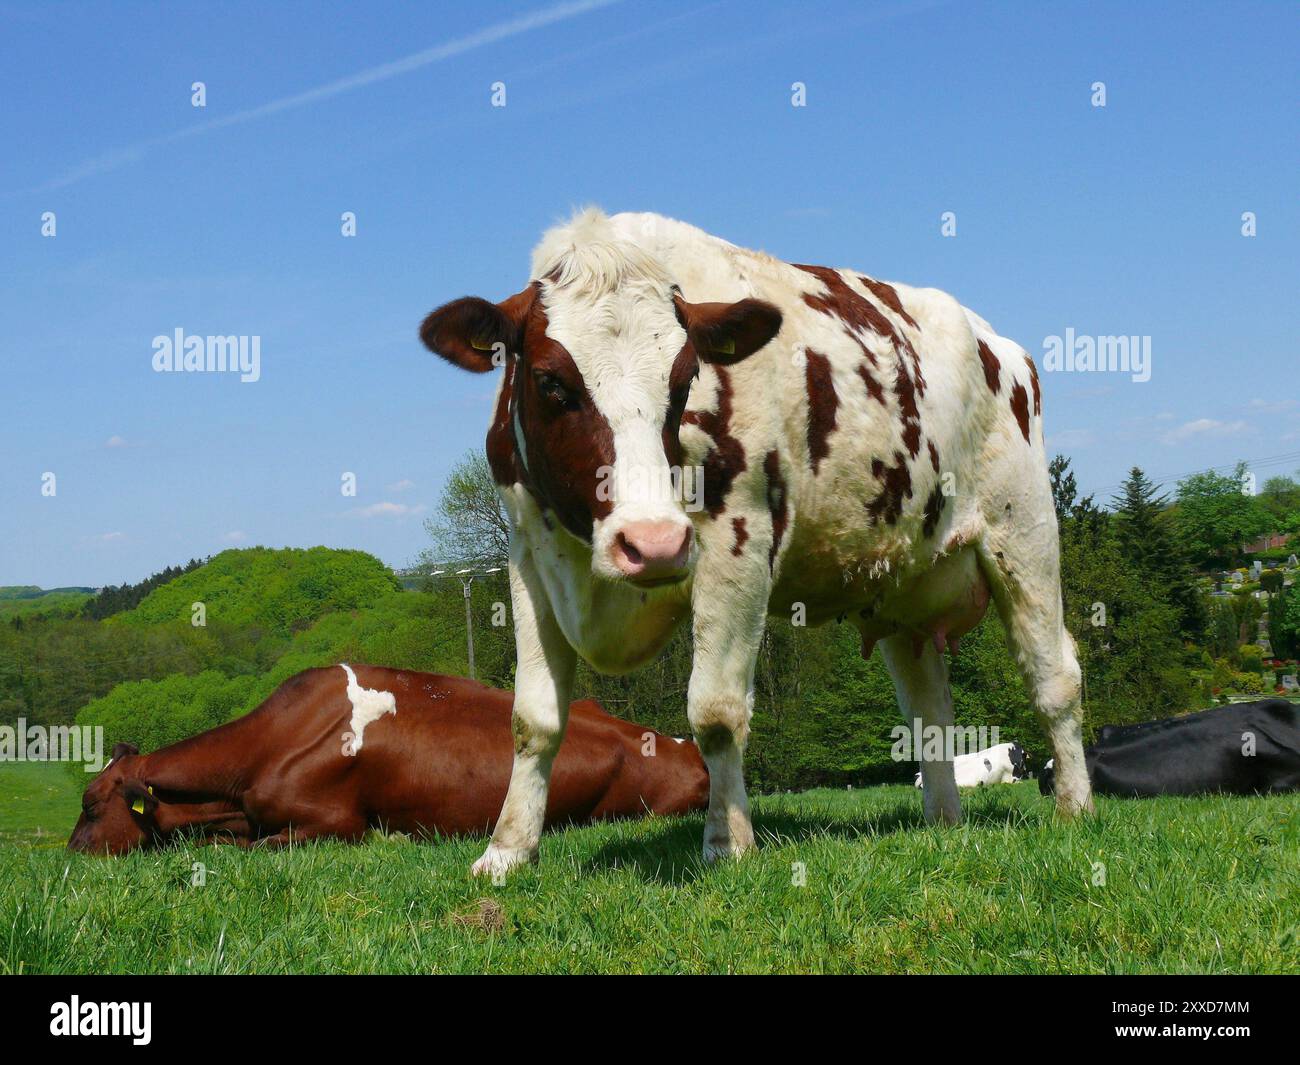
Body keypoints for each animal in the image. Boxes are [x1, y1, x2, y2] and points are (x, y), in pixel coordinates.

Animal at [419, 208, 1092, 877]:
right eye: (550, 381)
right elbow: (533, 719)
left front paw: (726, 842)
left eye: (686, 378)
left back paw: (1075, 808)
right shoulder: (528, 557)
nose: (653, 543)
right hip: (904, 587)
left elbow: (715, 713)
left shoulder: (737, 540)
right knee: (929, 713)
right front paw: (506, 852)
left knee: (1055, 678)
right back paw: (944, 823)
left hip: (1024, 529)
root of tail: (998, 342)